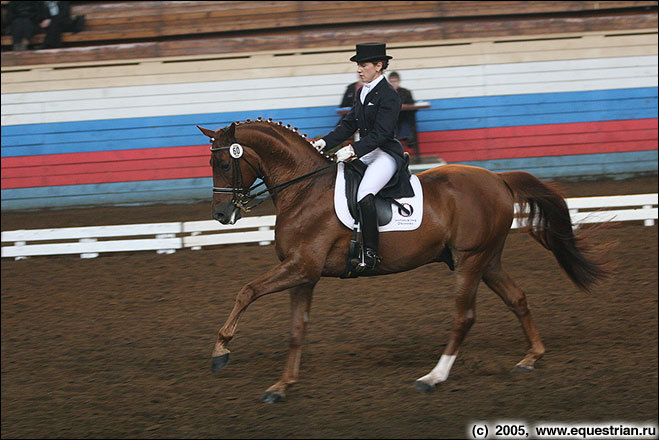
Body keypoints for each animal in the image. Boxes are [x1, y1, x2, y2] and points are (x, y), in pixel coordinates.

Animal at [196, 119, 608, 402]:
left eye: (226, 165)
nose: (221, 215)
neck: (304, 189)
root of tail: (499, 180)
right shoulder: (304, 274)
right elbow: (297, 330)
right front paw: (282, 386)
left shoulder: (300, 267)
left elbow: (247, 291)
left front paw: (221, 351)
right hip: (487, 260)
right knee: (517, 298)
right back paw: (532, 357)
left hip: (470, 261)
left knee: (465, 317)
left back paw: (433, 378)